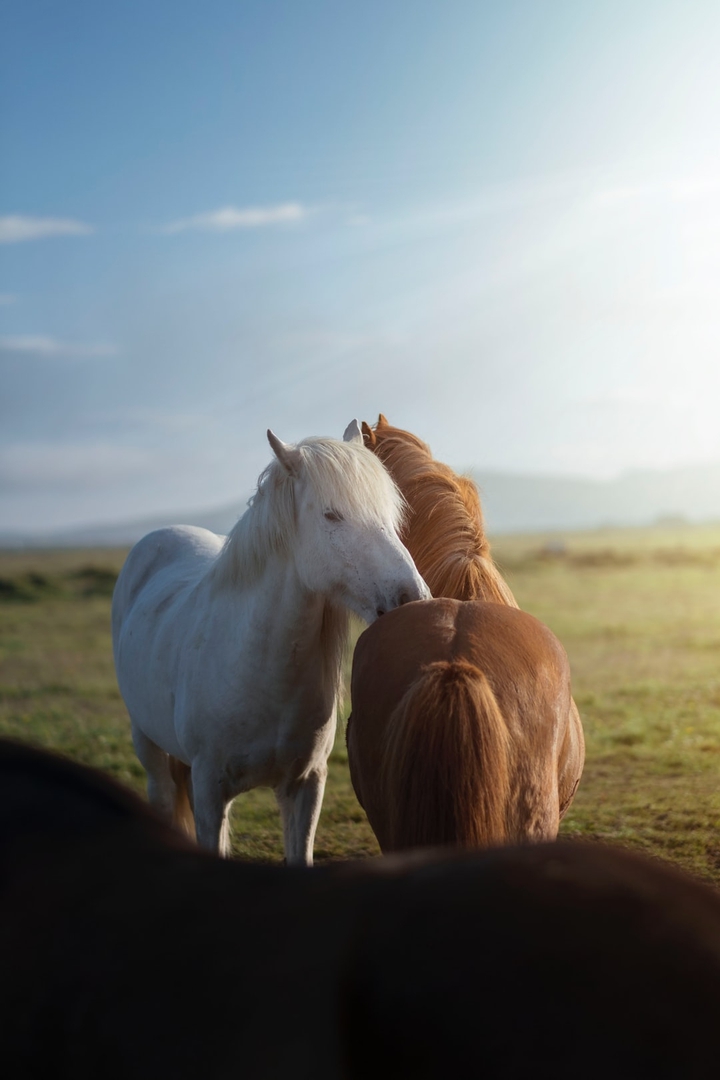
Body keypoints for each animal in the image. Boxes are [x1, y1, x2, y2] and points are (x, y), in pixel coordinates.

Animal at [112, 421, 429, 865]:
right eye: (332, 514)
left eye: (388, 513)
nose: (412, 598)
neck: (259, 669)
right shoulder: (210, 790)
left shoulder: (306, 786)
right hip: (147, 742)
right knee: (161, 795)